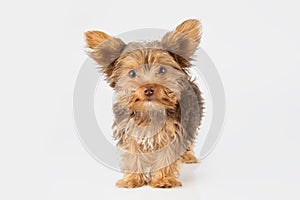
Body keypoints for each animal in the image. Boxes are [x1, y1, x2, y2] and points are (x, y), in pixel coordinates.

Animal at [85, 18, 205, 188]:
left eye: (162, 70)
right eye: (132, 73)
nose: (148, 89)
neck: (150, 111)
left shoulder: (173, 131)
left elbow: (167, 154)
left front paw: (163, 179)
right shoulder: (131, 131)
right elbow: (133, 155)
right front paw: (132, 179)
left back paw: (188, 157)